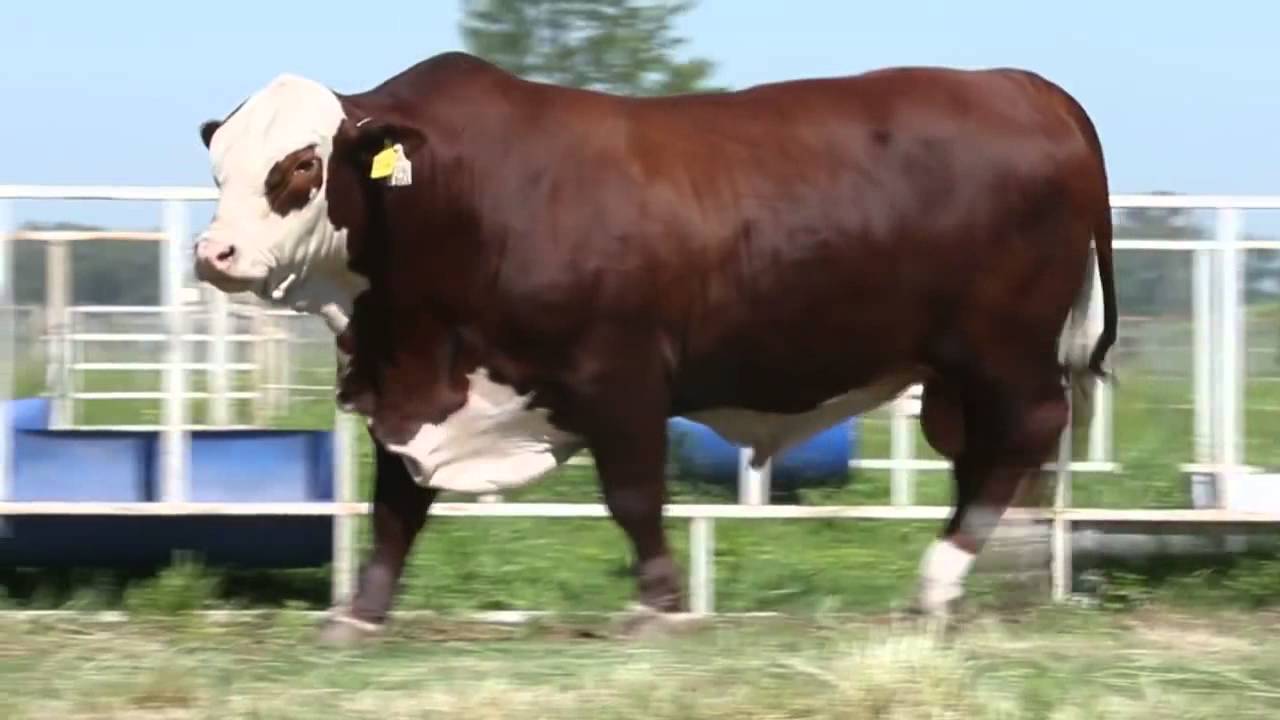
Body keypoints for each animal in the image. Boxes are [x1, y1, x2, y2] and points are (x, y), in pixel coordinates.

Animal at [192, 51, 1117, 644]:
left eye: (300, 166)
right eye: (219, 169)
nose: (214, 253)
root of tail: (1025, 87)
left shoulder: (621, 375)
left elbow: (635, 496)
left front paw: (659, 605)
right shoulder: (416, 388)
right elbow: (395, 507)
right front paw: (359, 613)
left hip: (1004, 351)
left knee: (1026, 436)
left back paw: (936, 581)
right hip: (958, 371)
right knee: (982, 454)